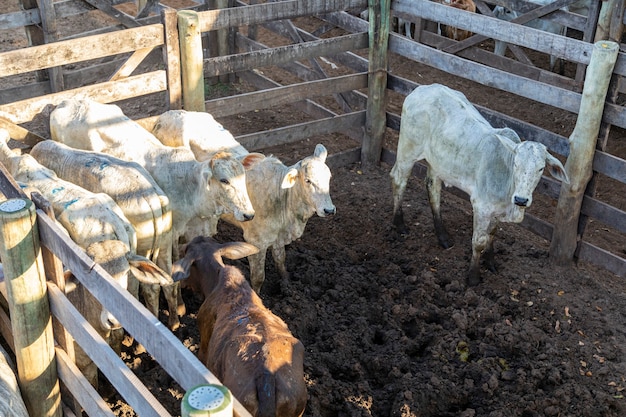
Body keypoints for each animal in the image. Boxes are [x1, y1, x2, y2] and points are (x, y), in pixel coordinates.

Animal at [48, 98, 258, 324]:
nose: (249, 214)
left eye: (243, 177)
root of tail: (67, 102)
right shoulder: (173, 236)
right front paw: (181, 306)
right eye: (224, 180)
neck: (190, 188)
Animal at [151, 110, 334, 292]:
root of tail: (169, 114)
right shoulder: (256, 241)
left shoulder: (277, 237)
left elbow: (280, 259)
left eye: (329, 177)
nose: (329, 210)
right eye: (308, 180)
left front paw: (287, 283)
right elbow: (258, 277)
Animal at [388, 84, 568, 286]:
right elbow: (479, 241)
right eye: (516, 163)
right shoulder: (481, 207)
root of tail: (422, 89)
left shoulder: (496, 211)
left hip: (437, 162)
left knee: (433, 189)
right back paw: (399, 224)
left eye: (541, 168)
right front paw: (473, 277)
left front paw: (491, 262)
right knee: (399, 179)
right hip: (407, 150)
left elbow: (492, 234)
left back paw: (443, 237)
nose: (521, 199)